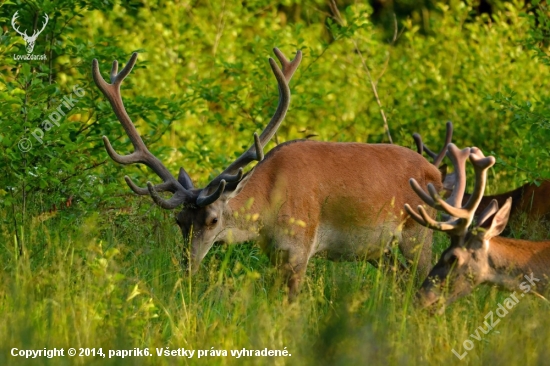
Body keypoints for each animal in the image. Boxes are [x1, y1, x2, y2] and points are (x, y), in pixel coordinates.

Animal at [94, 49, 444, 300]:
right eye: (179, 221)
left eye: (213, 220)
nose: (188, 268)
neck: (269, 207)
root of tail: (435, 173)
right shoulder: (274, 253)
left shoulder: (300, 247)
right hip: (380, 251)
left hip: (418, 231)